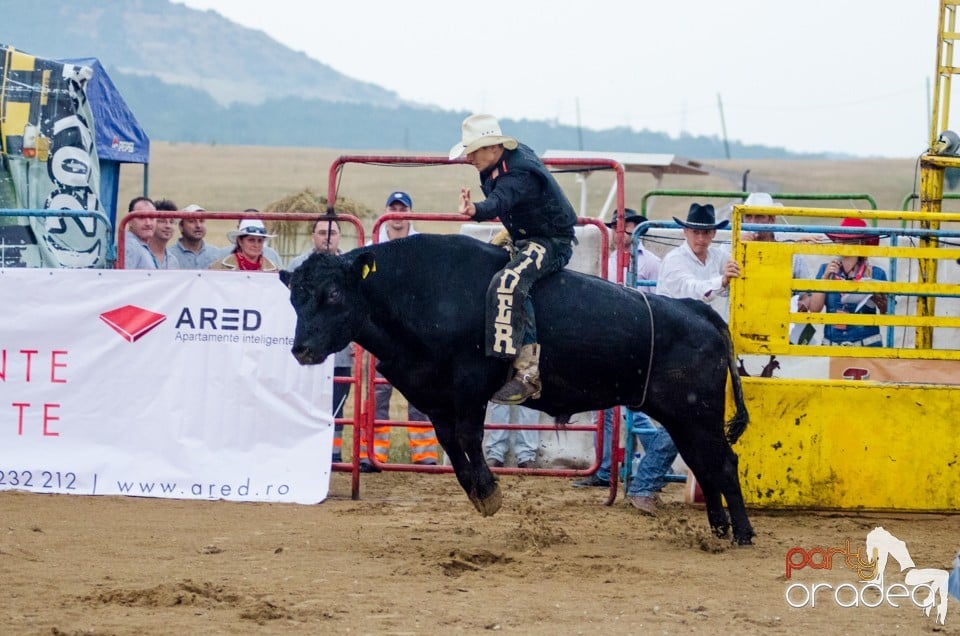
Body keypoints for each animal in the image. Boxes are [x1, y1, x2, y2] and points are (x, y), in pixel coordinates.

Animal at [282, 235, 752, 548]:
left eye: (334, 292)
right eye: (294, 298)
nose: (301, 349)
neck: (418, 291)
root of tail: (698, 311)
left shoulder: (471, 384)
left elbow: (468, 436)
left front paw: (489, 491)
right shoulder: (433, 395)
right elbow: (450, 441)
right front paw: (477, 490)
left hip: (698, 414)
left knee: (724, 463)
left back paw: (742, 533)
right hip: (682, 417)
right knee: (704, 464)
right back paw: (717, 529)